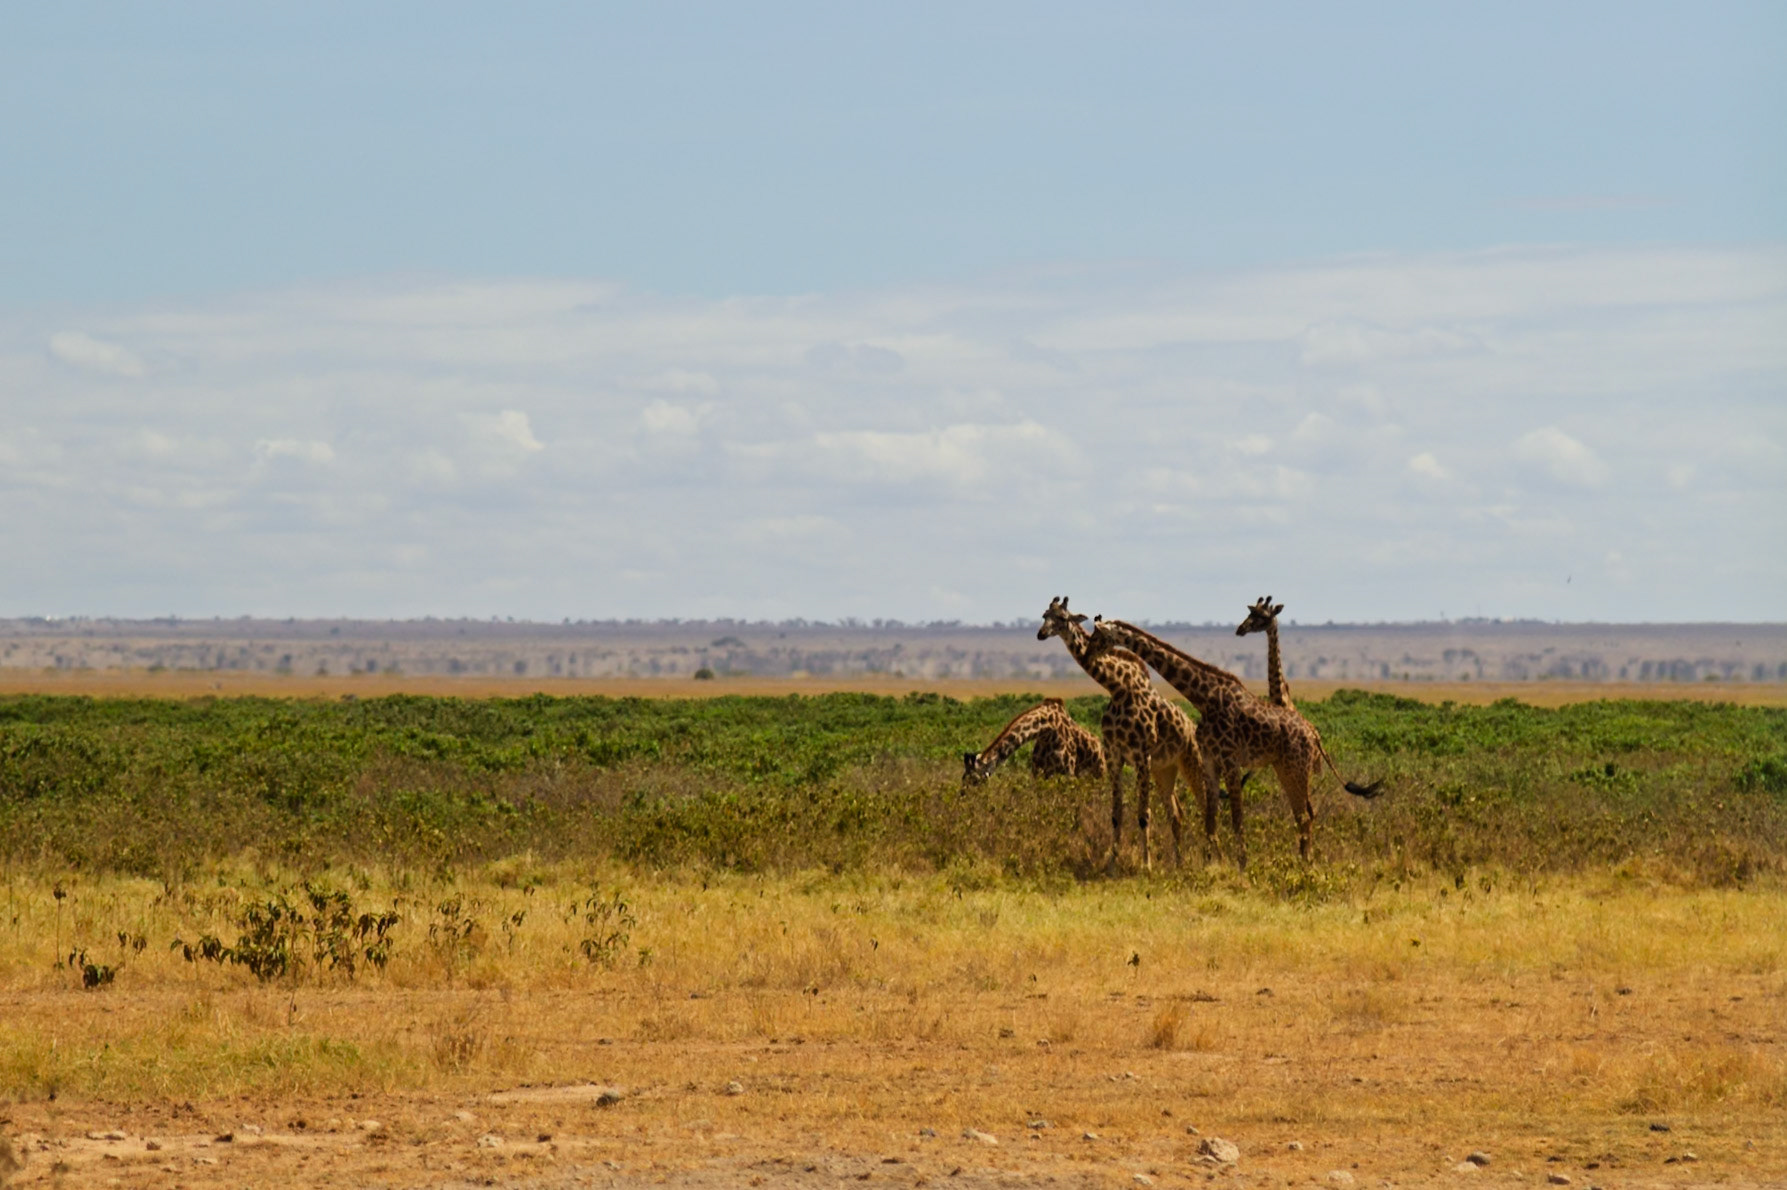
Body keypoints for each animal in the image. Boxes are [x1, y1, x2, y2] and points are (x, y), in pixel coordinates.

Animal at [962, 698, 1105, 787]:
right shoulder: (1039, 773)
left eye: (973, 779)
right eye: (963, 778)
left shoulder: (1068, 772)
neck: (1046, 730)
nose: (963, 795)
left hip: (1099, 773)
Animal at [1036, 596, 1206, 873]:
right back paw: (1178, 863)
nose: (1041, 634)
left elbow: (1144, 814)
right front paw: (1112, 863)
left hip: (1190, 760)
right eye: (1043, 615)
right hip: (1164, 769)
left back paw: (1215, 859)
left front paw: (1146, 866)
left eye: (1062, 618)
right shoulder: (1115, 756)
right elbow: (1116, 814)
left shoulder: (1142, 756)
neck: (1117, 687)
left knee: (1205, 806)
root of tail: (1191, 726)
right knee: (1176, 813)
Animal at [1083, 616, 1382, 865]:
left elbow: (1237, 818)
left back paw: (1306, 864)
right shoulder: (1210, 760)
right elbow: (1210, 818)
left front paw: (1242, 865)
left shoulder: (1230, 760)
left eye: (1098, 636)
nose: (1086, 655)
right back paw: (1304, 861)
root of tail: (1314, 734)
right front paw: (1210, 864)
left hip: (1297, 767)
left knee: (1305, 815)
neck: (1204, 698)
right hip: (1284, 768)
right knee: (1305, 813)